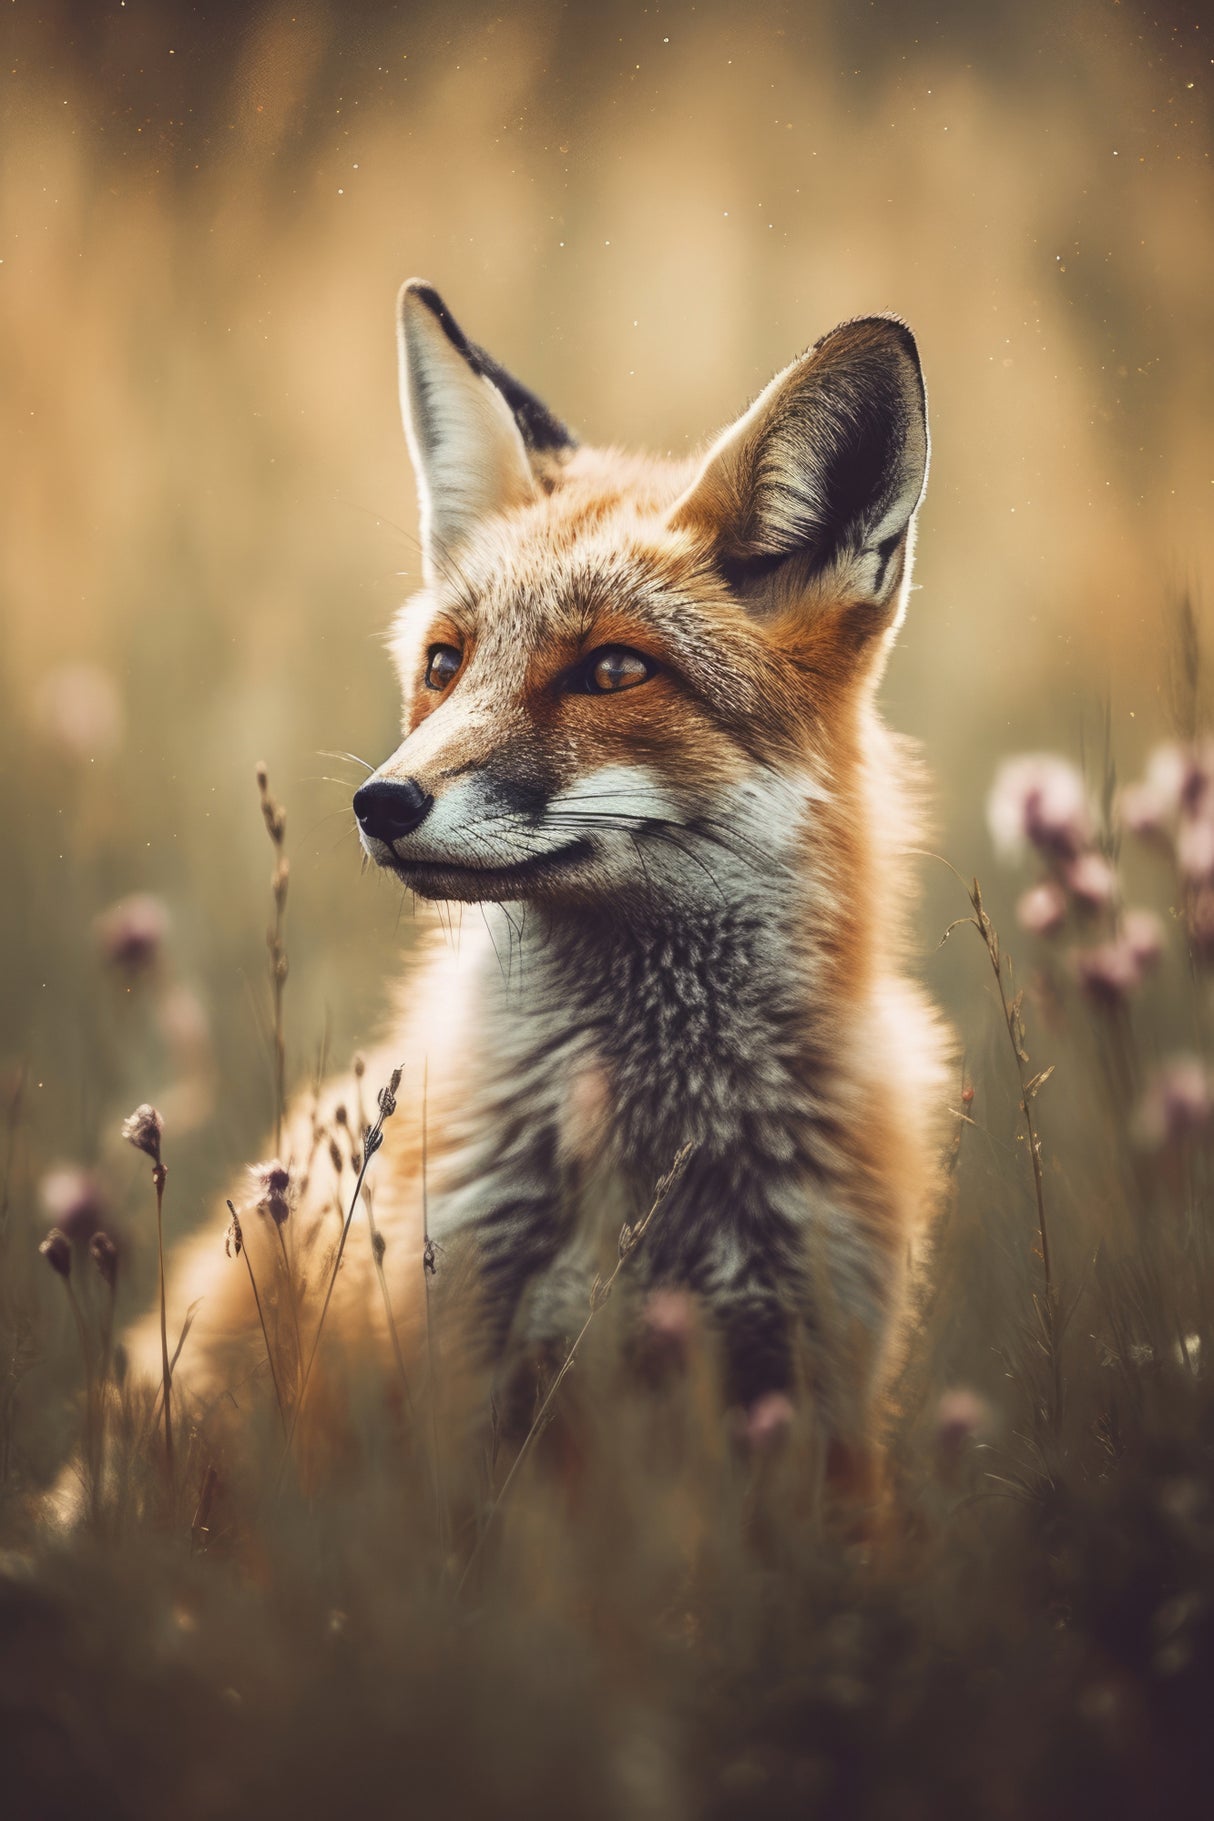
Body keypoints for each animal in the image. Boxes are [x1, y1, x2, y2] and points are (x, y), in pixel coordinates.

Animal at [120, 280, 951, 1499]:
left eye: (612, 670)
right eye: (445, 663)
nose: (380, 802)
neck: (655, 1160)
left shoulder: (818, 1391)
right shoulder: (459, 1381)